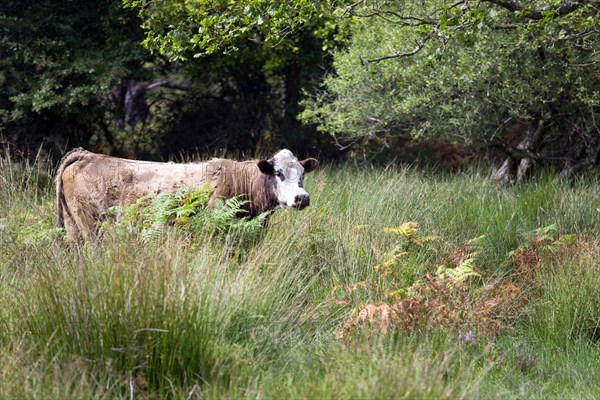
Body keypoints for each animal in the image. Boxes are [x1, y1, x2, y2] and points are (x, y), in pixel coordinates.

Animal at [55, 148, 318, 239]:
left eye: (303, 173)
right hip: (90, 224)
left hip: (72, 225)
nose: (302, 197)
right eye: (279, 173)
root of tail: (87, 154)